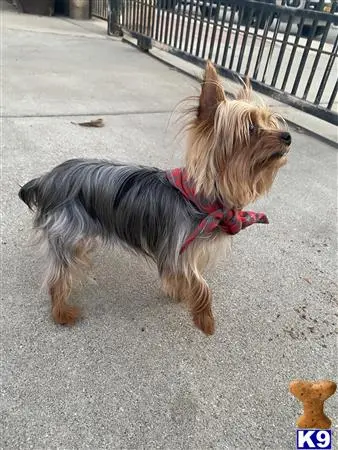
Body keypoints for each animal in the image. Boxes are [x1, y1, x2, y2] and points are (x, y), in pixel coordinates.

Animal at [18, 60, 290, 334]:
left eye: (270, 122)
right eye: (251, 128)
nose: (287, 136)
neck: (201, 201)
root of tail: (48, 179)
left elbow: (178, 278)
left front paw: (179, 293)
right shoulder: (177, 248)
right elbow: (201, 284)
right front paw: (204, 319)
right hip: (67, 230)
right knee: (58, 276)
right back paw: (61, 313)